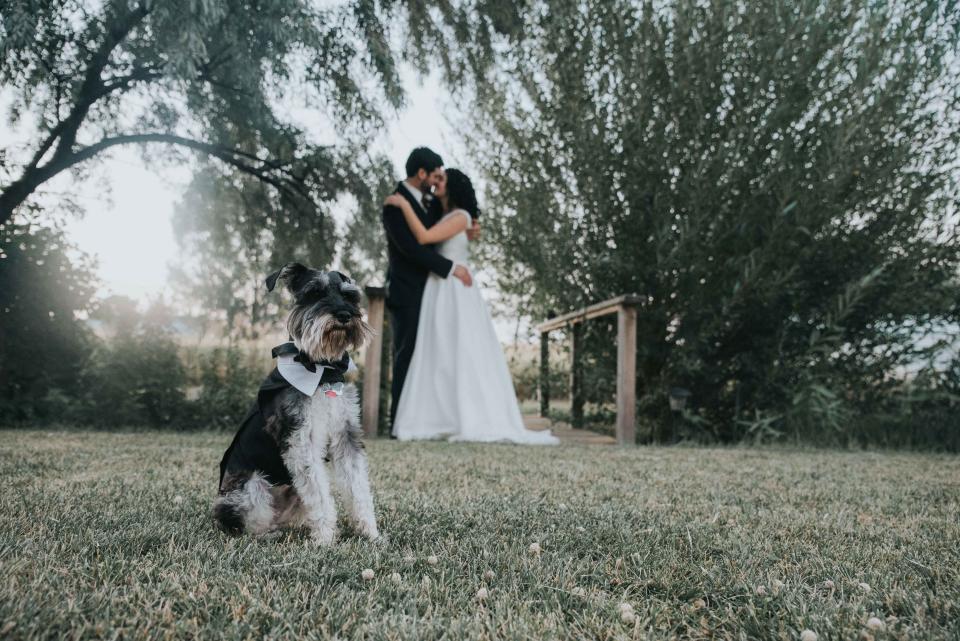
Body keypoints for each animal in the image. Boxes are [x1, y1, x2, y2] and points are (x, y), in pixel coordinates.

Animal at [214, 262, 378, 544]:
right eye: (315, 293)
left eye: (350, 296)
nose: (345, 315)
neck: (322, 370)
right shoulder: (301, 440)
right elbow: (321, 495)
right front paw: (326, 540)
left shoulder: (346, 436)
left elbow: (358, 488)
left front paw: (372, 534)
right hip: (251, 487)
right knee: (248, 523)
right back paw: (268, 534)